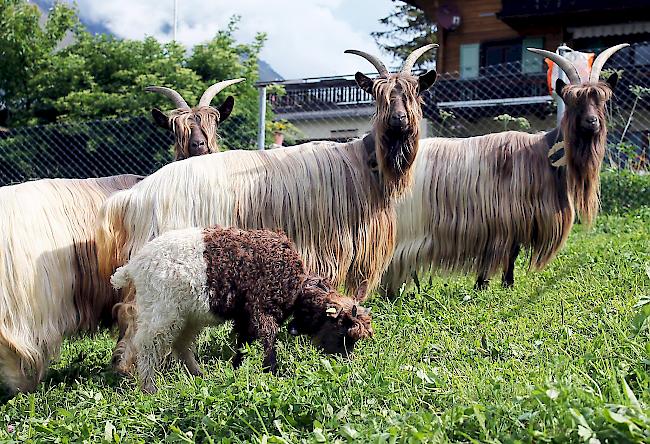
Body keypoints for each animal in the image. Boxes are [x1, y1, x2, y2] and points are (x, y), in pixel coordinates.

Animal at [96, 45, 438, 372]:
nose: (398, 121)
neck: (363, 164)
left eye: (413, 92)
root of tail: (134, 196)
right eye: (379, 95)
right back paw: (130, 367)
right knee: (135, 312)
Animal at [110, 227, 370, 394]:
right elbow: (268, 340)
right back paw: (149, 387)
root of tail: (132, 267)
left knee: (181, 344)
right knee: (148, 345)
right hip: (162, 311)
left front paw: (236, 370)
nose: (347, 364)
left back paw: (198, 375)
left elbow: (243, 344)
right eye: (342, 333)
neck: (295, 286)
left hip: (186, 316)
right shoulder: (261, 311)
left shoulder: (246, 317)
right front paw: (271, 371)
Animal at [382, 43, 624, 294]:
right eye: (571, 101)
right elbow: (507, 253)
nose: (592, 122)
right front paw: (491, 284)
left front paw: (500, 284)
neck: (542, 153)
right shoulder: (503, 218)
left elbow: (510, 253)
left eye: (602, 100)